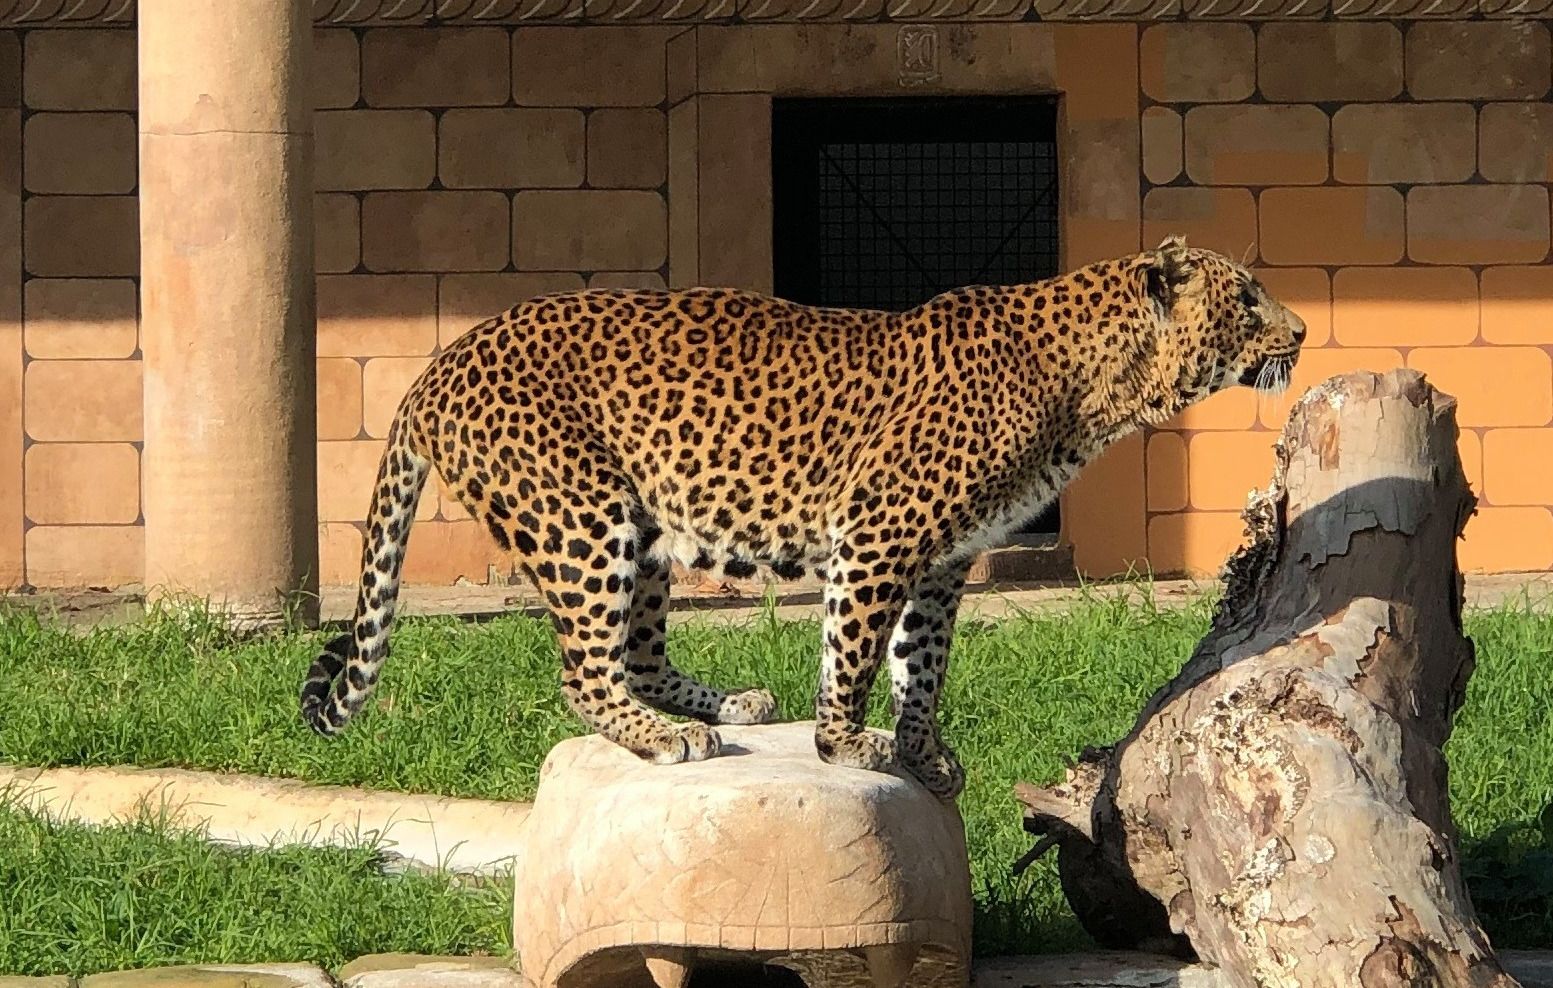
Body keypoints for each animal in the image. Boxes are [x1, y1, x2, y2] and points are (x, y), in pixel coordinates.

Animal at [300, 235, 1306, 800]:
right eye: (1247, 296)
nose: (1299, 334)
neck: (1103, 390)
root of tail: (435, 365)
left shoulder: (941, 562)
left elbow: (920, 667)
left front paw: (922, 753)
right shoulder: (880, 534)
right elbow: (852, 656)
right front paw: (842, 743)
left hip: (645, 534)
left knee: (638, 654)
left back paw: (725, 704)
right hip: (581, 518)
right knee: (584, 672)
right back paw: (665, 736)